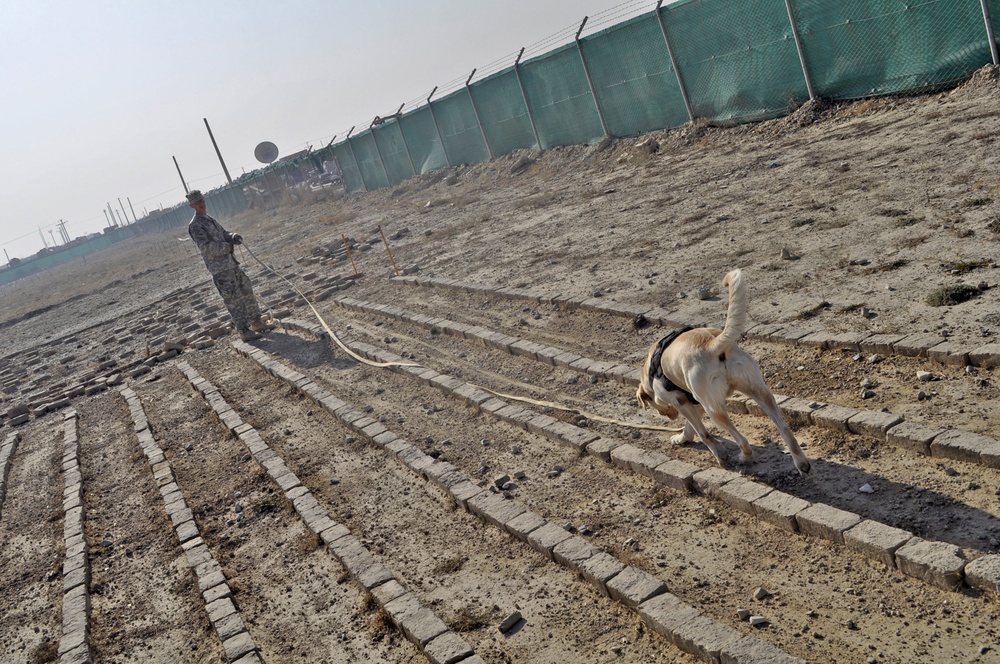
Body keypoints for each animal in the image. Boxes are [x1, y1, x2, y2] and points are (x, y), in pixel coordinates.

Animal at [640, 268, 812, 474]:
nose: (662, 415)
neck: (650, 372)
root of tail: (712, 344)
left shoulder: (681, 401)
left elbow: (703, 433)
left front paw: (719, 454)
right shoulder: (695, 403)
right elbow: (691, 426)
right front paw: (682, 438)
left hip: (715, 410)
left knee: (742, 440)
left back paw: (744, 457)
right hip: (760, 392)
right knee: (786, 431)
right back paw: (802, 464)